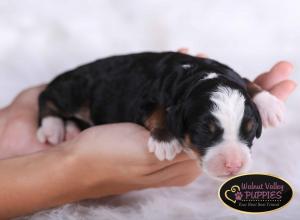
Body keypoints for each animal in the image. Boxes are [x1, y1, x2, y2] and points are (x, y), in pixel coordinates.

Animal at [35, 51, 284, 180]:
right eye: (205, 132)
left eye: (249, 130)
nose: (234, 165)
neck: (197, 76)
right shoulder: (146, 101)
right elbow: (159, 112)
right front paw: (165, 140)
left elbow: (247, 82)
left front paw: (270, 105)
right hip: (76, 90)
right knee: (46, 96)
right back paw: (52, 127)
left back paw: (70, 129)